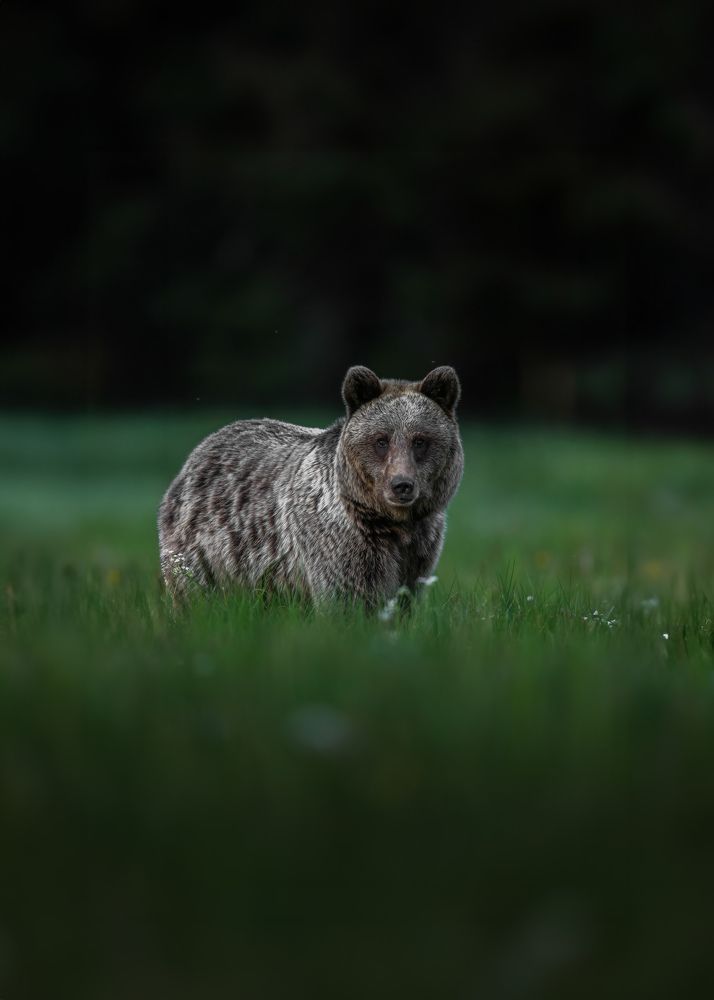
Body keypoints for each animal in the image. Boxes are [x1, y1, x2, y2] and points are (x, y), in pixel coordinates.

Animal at [158, 365, 464, 607]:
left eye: (420, 440)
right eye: (381, 440)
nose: (402, 485)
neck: (391, 523)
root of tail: (200, 449)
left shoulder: (419, 547)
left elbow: (404, 598)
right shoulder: (343, 541)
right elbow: (347, 597)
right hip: (205, 549)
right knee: (195, 594)